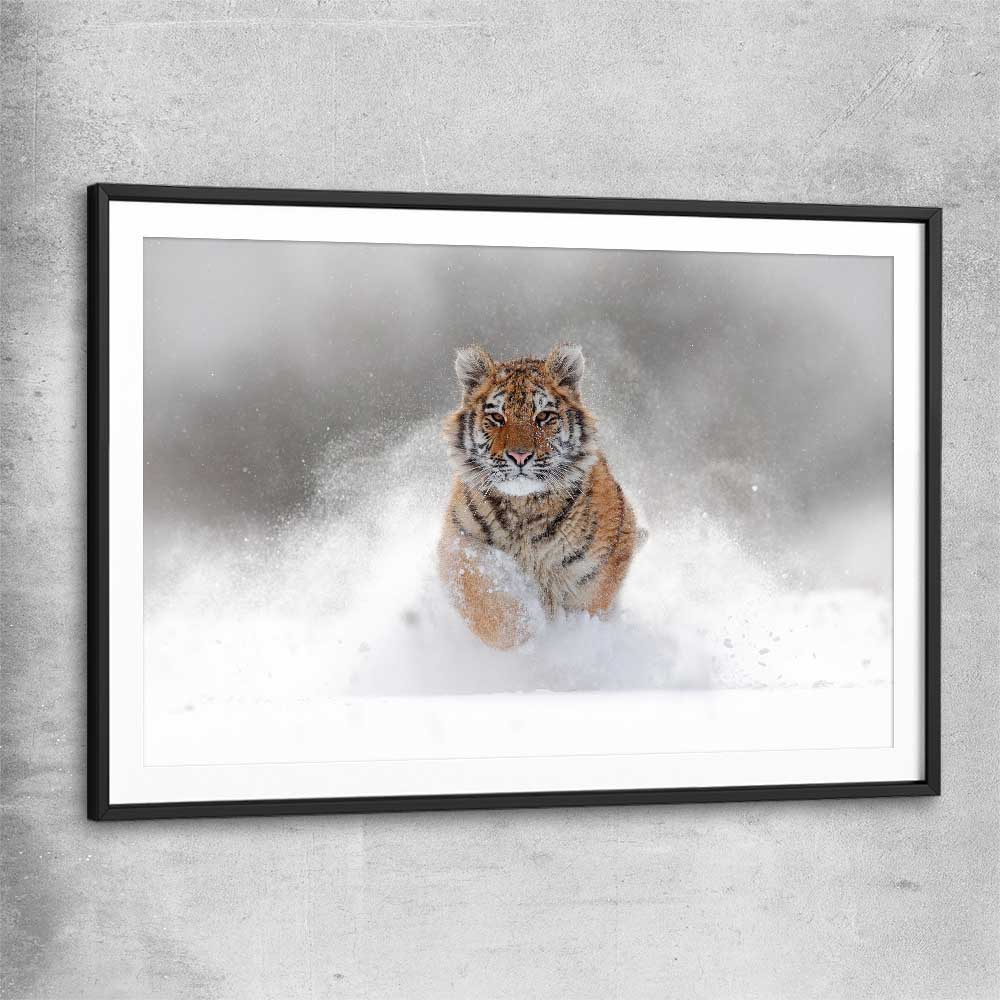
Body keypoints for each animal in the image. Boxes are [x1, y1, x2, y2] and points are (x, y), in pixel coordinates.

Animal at [438, 343, 642, 650]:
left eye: (543, 416)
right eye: (497, 418)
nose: (520, 456)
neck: (524, 508)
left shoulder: (598, 568)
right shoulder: (460, 544)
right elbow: (487, 602)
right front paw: (523, 637)